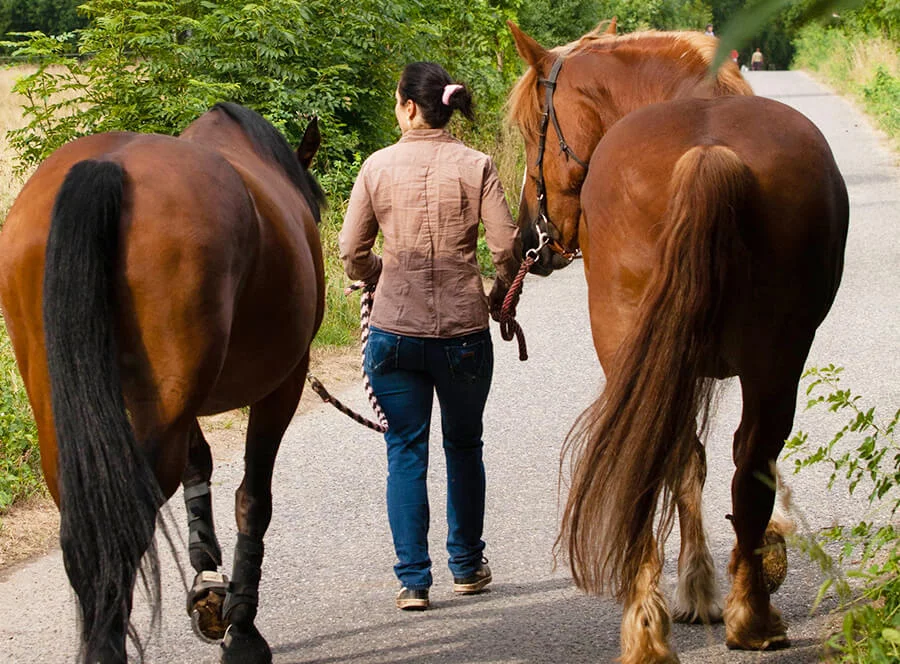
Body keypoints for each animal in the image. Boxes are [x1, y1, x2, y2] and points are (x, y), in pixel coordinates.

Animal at [0, 104, 326, 664]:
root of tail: (107, 167)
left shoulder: (183, 401)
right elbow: (252, 499)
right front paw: (242, 630)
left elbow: (201, 464)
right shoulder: (284, 382)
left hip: (67, 404)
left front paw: (210, 585)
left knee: (86, 531)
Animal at [510, 22, 848, 664]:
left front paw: (697, 588)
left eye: (531, 126)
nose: (529, 236)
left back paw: (656, 629)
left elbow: (685, 461)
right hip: (777, 357)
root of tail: (708, 154)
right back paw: (750, 616)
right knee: (751, 461)